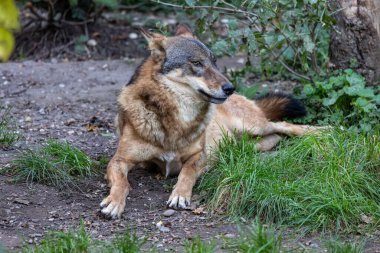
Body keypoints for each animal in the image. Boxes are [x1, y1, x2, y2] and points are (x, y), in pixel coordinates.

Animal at [99, 24, 322, 217]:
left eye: (214, 62)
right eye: (197, 63)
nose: (230, 88)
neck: (175, 119)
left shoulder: (199, 155)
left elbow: (186, 172)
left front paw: (179, 195)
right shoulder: (119, 160)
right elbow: (122, 183)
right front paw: (114, 202)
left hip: (254, 126)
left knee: (284, 125)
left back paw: (323, 132)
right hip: (248, 138)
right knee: (272, 136)